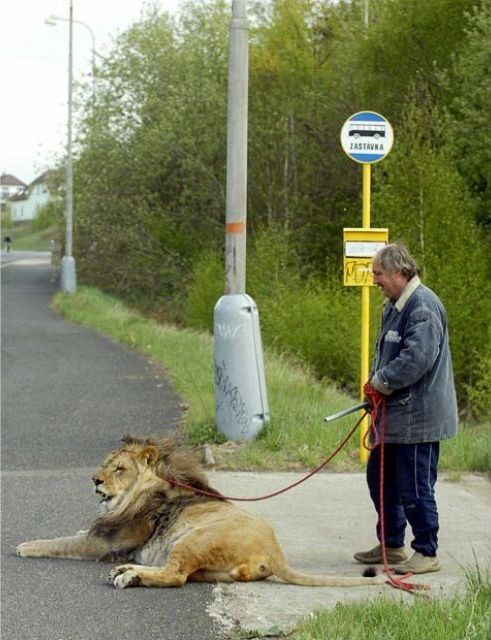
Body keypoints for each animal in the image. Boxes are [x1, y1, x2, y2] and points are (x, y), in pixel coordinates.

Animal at [16, 436, 388, 592]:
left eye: (119, 469)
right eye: (105, 464)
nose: (94, 479)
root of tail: (274, 552)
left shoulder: (104, 543)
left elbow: (58, 542)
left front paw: (24, 546)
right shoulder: (100, 535)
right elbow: (75, 533)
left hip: (193, 539)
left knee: (175, 577)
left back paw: (128, 577)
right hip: (208, 566)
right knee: (177, 573)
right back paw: (128, 571)